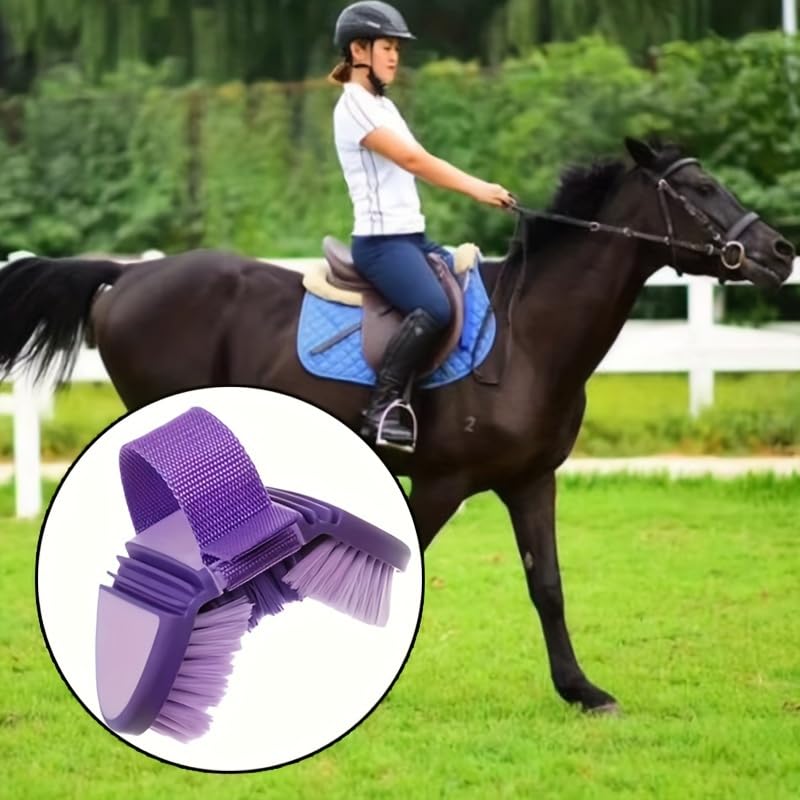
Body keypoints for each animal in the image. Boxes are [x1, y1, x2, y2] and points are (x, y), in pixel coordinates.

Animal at [1, 138, 794, 713]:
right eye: (699, 191)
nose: (779, 252)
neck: (528, 337)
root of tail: (127, 275)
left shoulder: (531, 481)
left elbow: (548, 585)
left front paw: (581, 690)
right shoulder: (444, 483)